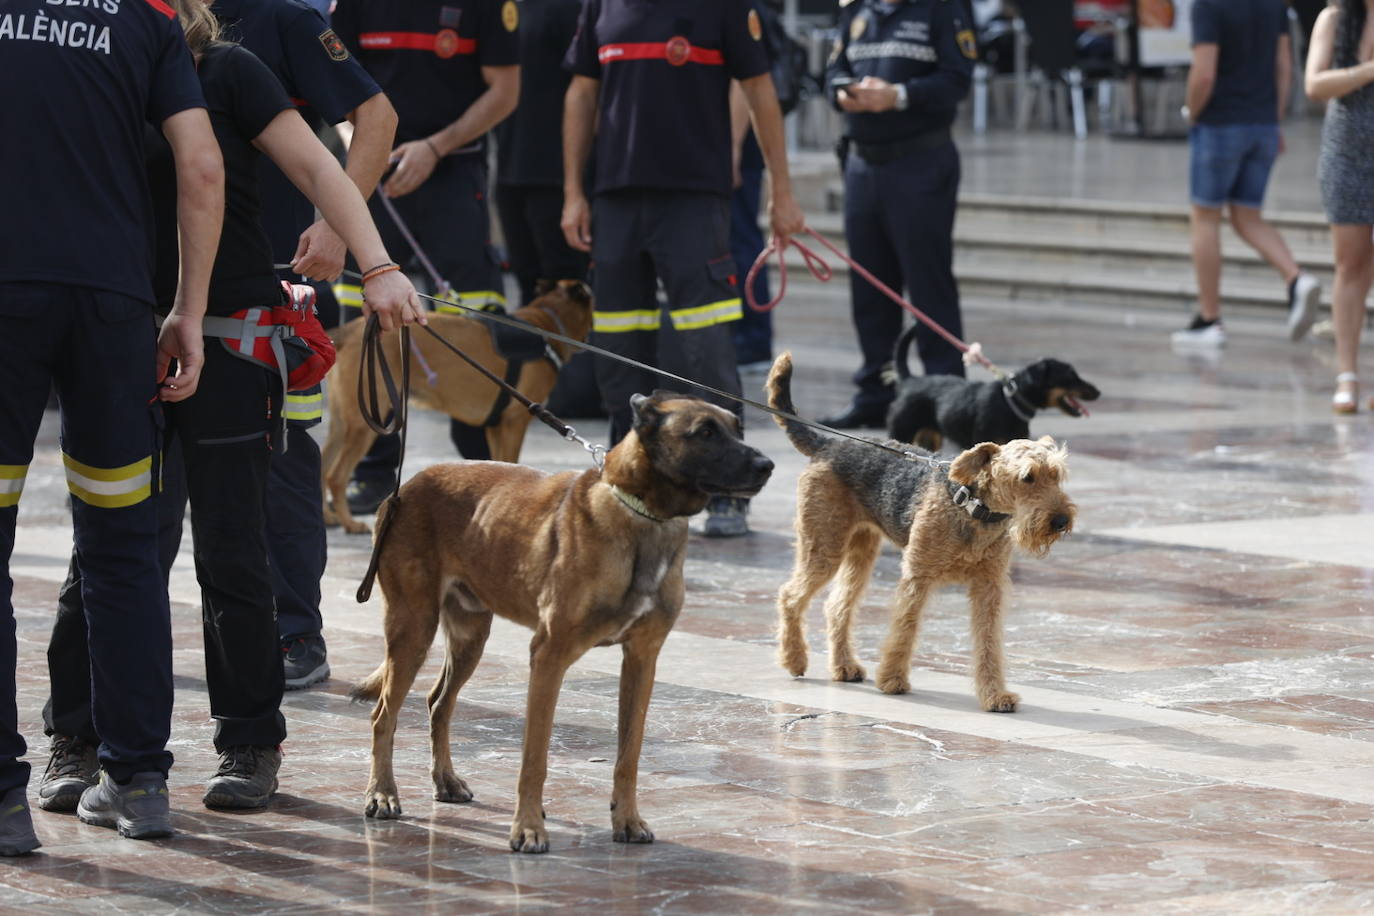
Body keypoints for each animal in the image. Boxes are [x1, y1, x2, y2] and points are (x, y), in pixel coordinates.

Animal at [328, 281, 601, 538]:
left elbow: (502, 463)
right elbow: (513, 462)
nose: (590, 337)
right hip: (363, 425)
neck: (546, 323)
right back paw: (349, 523)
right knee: (336, 476)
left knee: (323, 467)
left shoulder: (495, 427)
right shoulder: (513, 424)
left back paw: (330, 518)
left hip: (341, 423)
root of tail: (349, 330)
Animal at [351, 390, 774, 856]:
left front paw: (627, 820)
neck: (642, 514)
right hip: (413, 628)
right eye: (705, 432)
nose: (767, 465)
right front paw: (528, 828)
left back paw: (445, 781)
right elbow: (534, 758)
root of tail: (403, 488)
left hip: (469, 636)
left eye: (737, 428)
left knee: (438, 703)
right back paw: (382, 793)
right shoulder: (549, 657)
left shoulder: (641, 660)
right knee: (384, 715)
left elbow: (629, 755)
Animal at [769, 354, 1066, 714]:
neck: (973, 507)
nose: (1061, 520)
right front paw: (892, 680)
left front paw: (995, 695)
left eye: (1057, 475)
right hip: (823, 546)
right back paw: (794, 659)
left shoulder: (989, 586)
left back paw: (844, 666)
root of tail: (828, 444)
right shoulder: (917, 575)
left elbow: (988, 642)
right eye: (1027, 477)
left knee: (836, 606)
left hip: (859, 550)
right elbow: (904, 629)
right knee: (790, 596)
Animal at [884, 324, 1099, 453]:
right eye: (1070, 377)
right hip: (902, 431)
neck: (1009, 402)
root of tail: (910, 381)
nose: (1098, 392)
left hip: (930, 437)